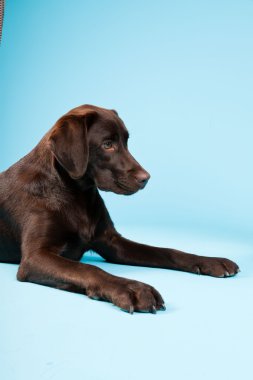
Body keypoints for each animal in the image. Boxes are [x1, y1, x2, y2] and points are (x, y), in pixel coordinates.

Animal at [0, 105, 239, 314]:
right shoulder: (35, 258)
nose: (146, 178)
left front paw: (209, 261)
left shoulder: (112, 243)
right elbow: (87, 268)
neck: (76, 194)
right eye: (107, 144)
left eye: (126, 142)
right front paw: (132, 289)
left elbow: (166, 251)